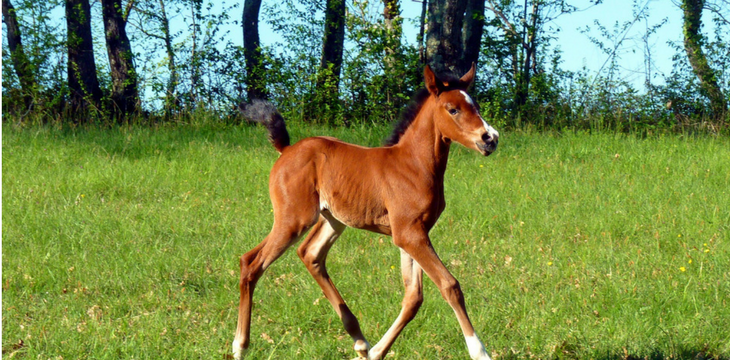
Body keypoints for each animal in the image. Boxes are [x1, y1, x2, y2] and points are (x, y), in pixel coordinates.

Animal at [236, 64, 498, 360]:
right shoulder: (409, 234)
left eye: (476, 106)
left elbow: (413, 297)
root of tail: (287, 149)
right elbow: (450, 285)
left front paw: (375, 353)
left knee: (310, 254)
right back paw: (239, 346)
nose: (490, 138)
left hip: (333, 220)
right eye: (452, 109)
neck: (415, 164)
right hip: (294, 219)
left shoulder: (414, 233)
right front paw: (479, 351)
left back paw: (360, 341)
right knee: (251, 263)